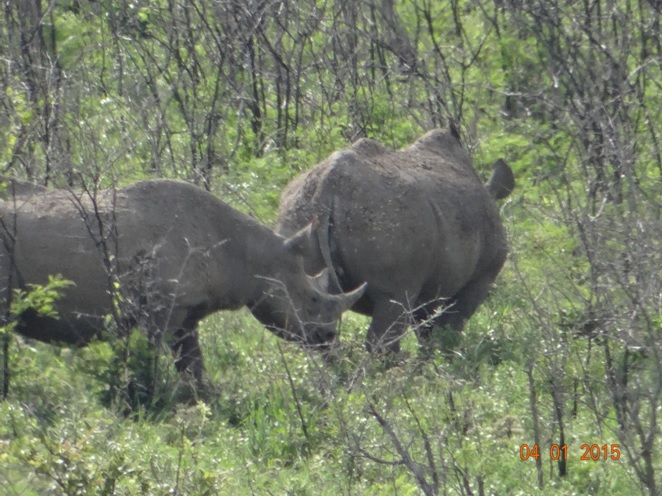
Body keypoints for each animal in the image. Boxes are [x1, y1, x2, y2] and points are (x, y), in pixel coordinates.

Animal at [0, 180, 368, 386]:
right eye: (313, 301)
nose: (329, 340)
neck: (254, 257)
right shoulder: (162, 308)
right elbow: (153, 359)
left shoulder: (187, 311)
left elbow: (193, 365)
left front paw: (205, 403)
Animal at [278, 128, 516, 352]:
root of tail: (325, 191)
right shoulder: (481, 278)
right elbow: (451, 325)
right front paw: (446, 358)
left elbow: (427, 329)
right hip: (386, 222)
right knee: (392, 305)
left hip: (297, 220)